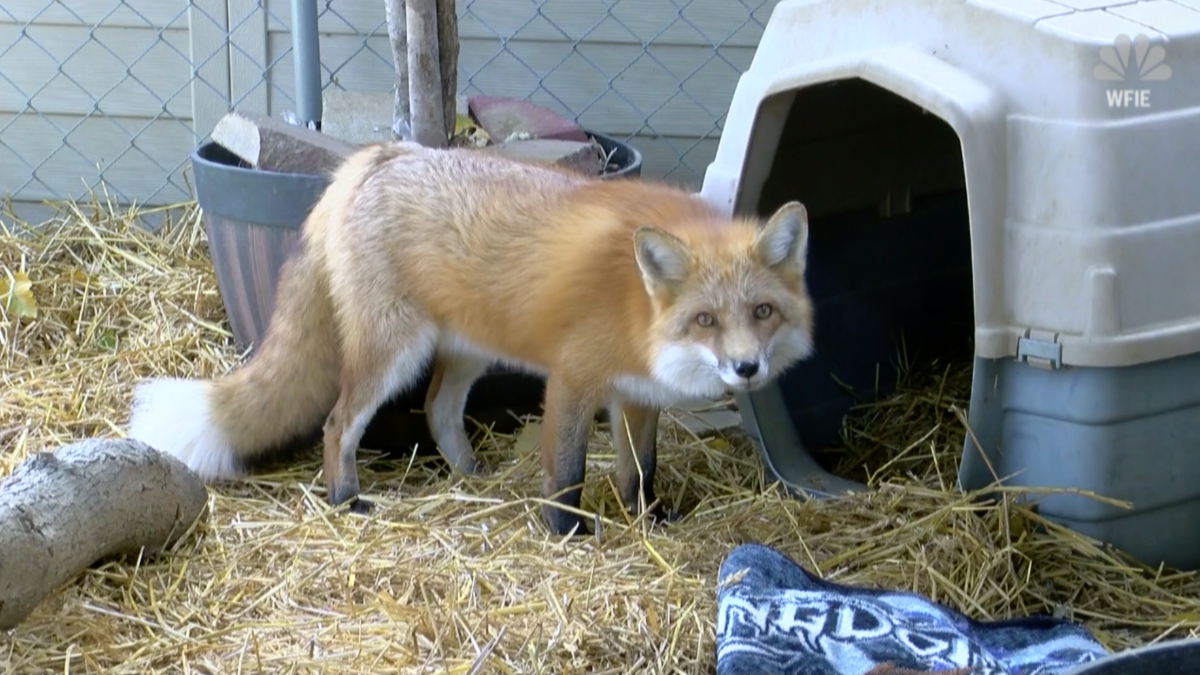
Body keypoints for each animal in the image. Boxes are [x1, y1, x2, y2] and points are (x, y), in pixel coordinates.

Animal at [126, 140, 816, 536]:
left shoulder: (636, 393)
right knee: (339, 423)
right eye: (706, 320)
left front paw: (649, 520)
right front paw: (567, 533)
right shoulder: (572, 380)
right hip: (394, 352)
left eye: (761, 312)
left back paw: (473, 477)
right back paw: (346, 500)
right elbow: (566, 471)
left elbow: (641, 471)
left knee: (437, 410)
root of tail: (375, 156)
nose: (746, 369)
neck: (635, 304)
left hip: (467, 352)